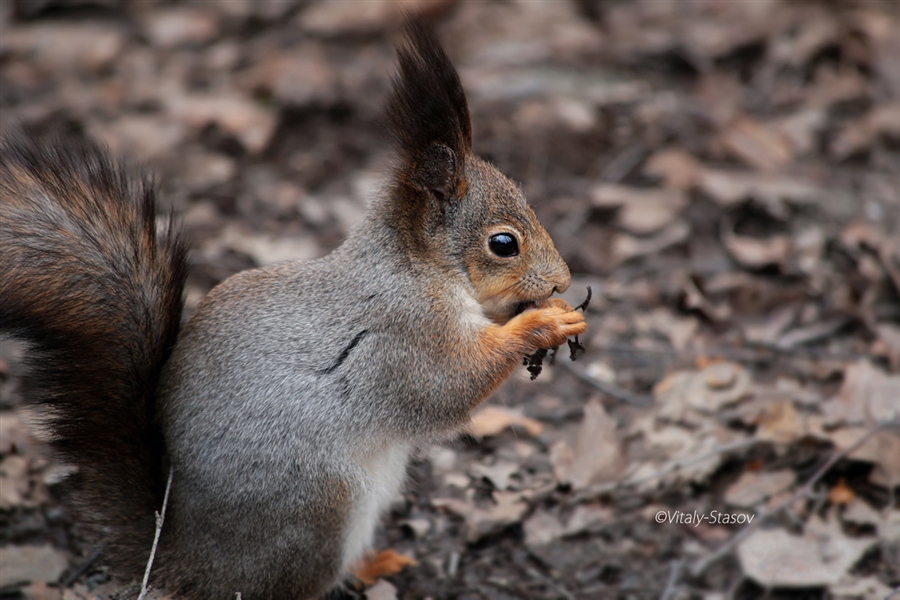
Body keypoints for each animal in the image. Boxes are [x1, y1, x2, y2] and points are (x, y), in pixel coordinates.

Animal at [0, 18, 588, 600]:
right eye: (504, 244)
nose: (563, 279)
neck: (416, 269)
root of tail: (189, 563)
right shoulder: (405, 335)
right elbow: (450, 388)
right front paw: (544, 322)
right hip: (320, 506)